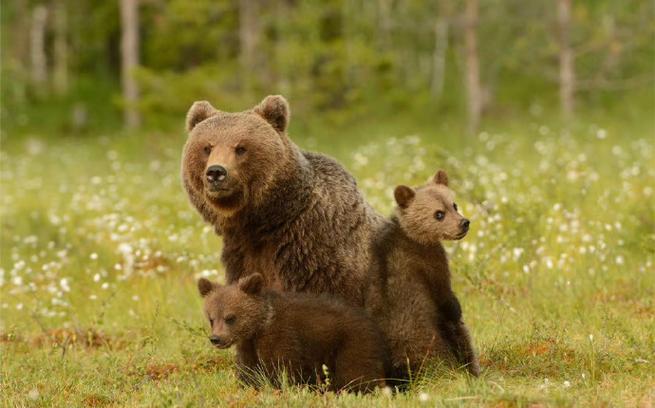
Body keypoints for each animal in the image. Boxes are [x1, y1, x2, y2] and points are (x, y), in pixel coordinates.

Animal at [197, 273, 388, 393]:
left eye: (230, 317)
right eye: (211, 318)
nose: (216, 339)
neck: (260, 325)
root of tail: (371, 322)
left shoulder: (282, 335)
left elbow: (283, 367)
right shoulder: (248, 345)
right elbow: (249, 370)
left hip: (351, 341)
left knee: (356, 372)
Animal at [367, 169, 480, 380]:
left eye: (454, 204)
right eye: (438, 214)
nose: (464, 223)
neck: (412, 235)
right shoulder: (431, 263)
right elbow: (446, 297)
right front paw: (456, 307)